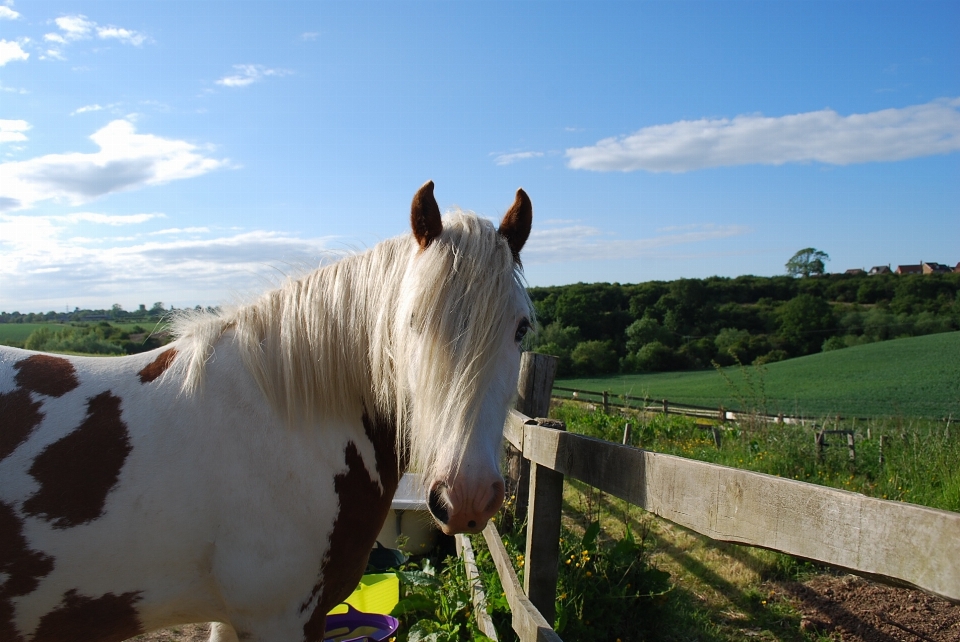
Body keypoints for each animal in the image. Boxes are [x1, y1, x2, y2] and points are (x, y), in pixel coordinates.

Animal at [0, 181, 532, 640]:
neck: (287, 422)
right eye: (413, 321)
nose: (466, 498)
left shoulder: (233, 619)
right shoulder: (280, 617)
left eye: (522, 328)